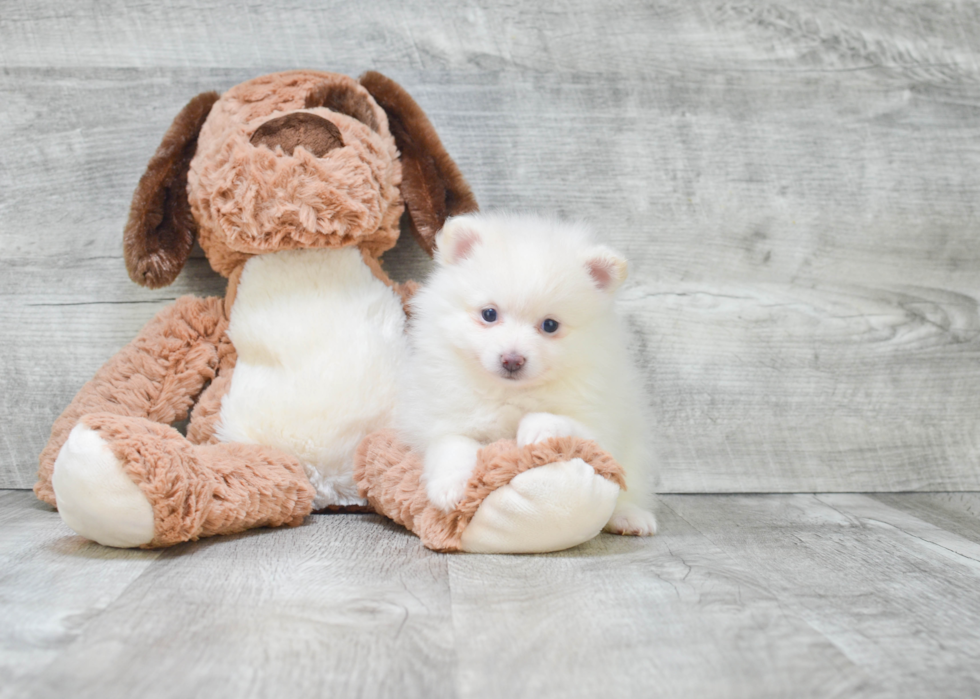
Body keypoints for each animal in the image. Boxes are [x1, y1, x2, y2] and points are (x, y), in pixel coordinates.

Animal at [394, 212, 656, 536]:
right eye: (489, 314)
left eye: (550, 325)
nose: (512, 359)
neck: (509, 394)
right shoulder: (440, 416)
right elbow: (452, 443)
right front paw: (451, 486)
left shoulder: (600, 420)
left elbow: (564, 421)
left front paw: (538, 429)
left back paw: (630, 516)